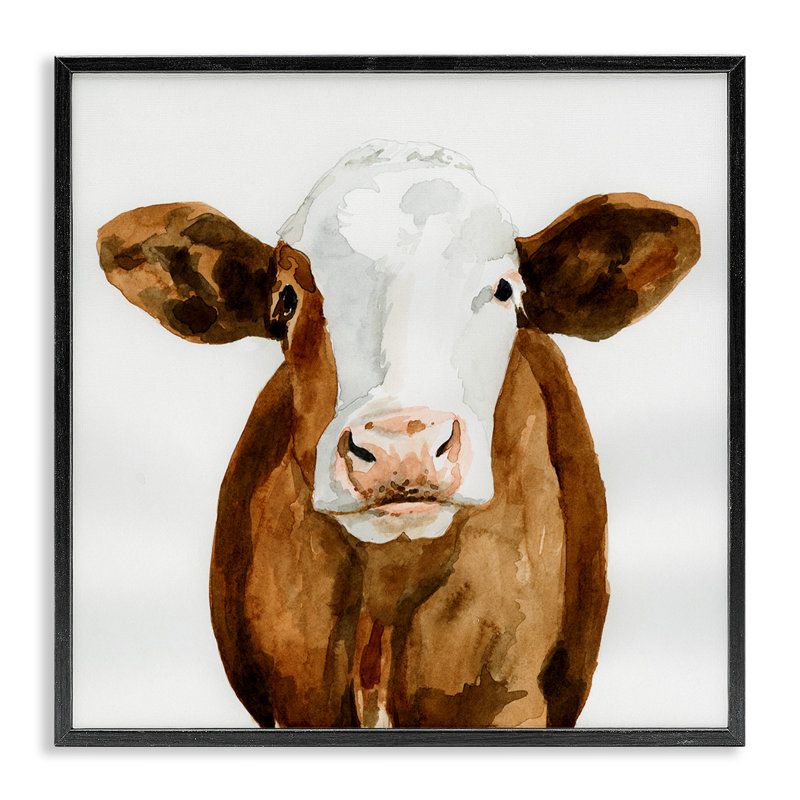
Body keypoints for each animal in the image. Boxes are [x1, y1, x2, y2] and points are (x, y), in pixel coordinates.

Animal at [97, 139, 700, 728]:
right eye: (286, 299)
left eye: (505, 289)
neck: (387, 591)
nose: (401, 445)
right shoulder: (296, 702)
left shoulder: (511, 698)